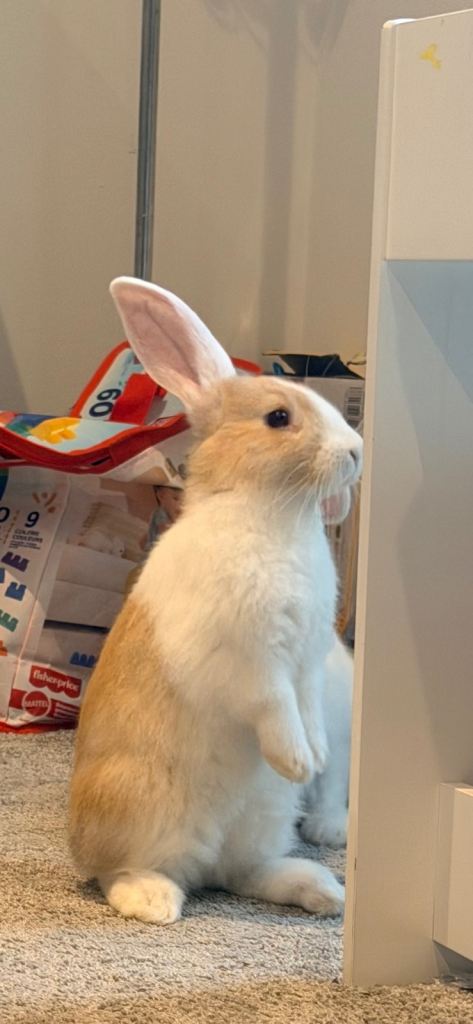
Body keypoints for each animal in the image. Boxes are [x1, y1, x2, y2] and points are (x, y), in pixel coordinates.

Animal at [68, 276, 363, 926]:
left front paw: (316, 755)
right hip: (140, 807)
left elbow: (307, 706)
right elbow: (272, 704)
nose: (357, 450)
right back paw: (153, 901)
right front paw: (297, 759)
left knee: (244, 873)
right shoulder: (249, 657)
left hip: (262, 821)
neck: (265, 511)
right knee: (121, 871)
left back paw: (321, 890)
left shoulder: (308, 661)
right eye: (278, 418)